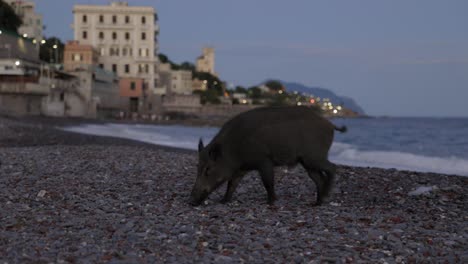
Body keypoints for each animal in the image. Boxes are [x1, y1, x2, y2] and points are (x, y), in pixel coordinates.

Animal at [188, 105, 346, 206]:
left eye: (208, 169)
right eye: (197, 166)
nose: (191, 201)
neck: (232, 148)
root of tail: (330, 124)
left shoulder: (264, 161)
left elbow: (268, 182)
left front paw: (271, 202)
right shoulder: (241, 169)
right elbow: (232, 184)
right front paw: (223, 201)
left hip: (314, 157)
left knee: (332, 168)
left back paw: (325, 196)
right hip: (307, 162)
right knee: (318, 178)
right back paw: (316, 203)